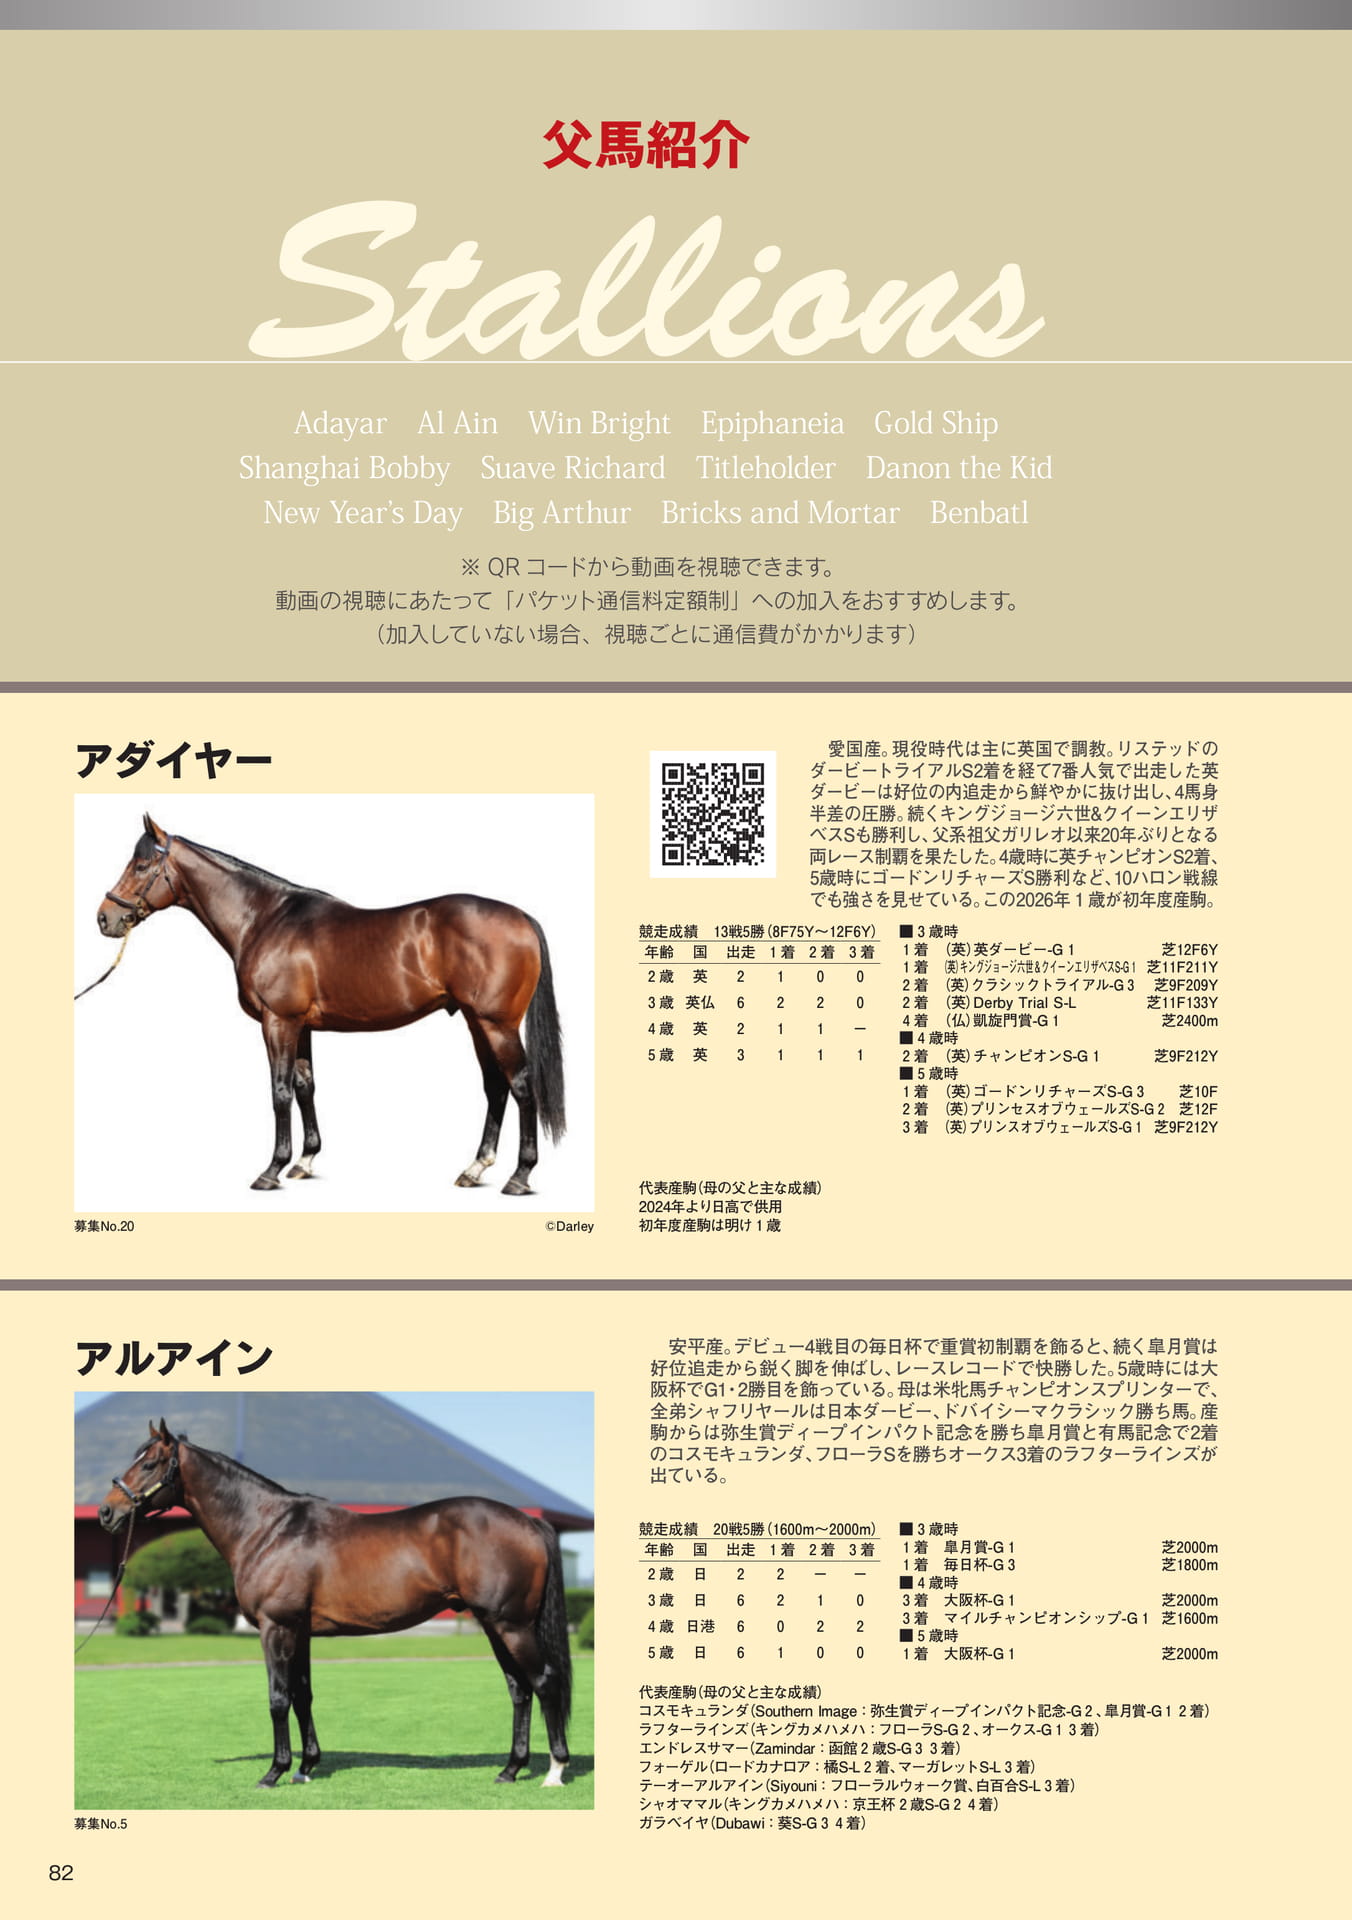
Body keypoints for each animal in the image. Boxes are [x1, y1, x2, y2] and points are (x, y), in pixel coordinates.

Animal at [92, 814, 564, 1194]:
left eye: (140, 866)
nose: (104, 918)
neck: (265, 919)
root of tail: (522, 917)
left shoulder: (278, 1021)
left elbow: (280, 1090)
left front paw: (271, 1170)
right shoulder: (300, 1025)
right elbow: (306, 1086)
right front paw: (304, 1161)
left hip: (496, 1024)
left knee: (521, 1086)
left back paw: (519, 1177)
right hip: (475, 1021)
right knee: (496, 1086)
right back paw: (475, 1169)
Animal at [98, 1420, 574, 1789]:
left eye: (149, 1464)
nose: (107, 1512)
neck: (267, 1528)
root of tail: (528, 1521)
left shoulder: (275, 1627)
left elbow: (278, 1697)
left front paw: (274, 1772)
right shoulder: (300, 1630)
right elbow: (303, 1694)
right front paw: (306, 1767)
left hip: (511, 1625)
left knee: (544, 1682)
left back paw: (555, 1770)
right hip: (495, 1625)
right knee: (519, 1689)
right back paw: (510, 1770)